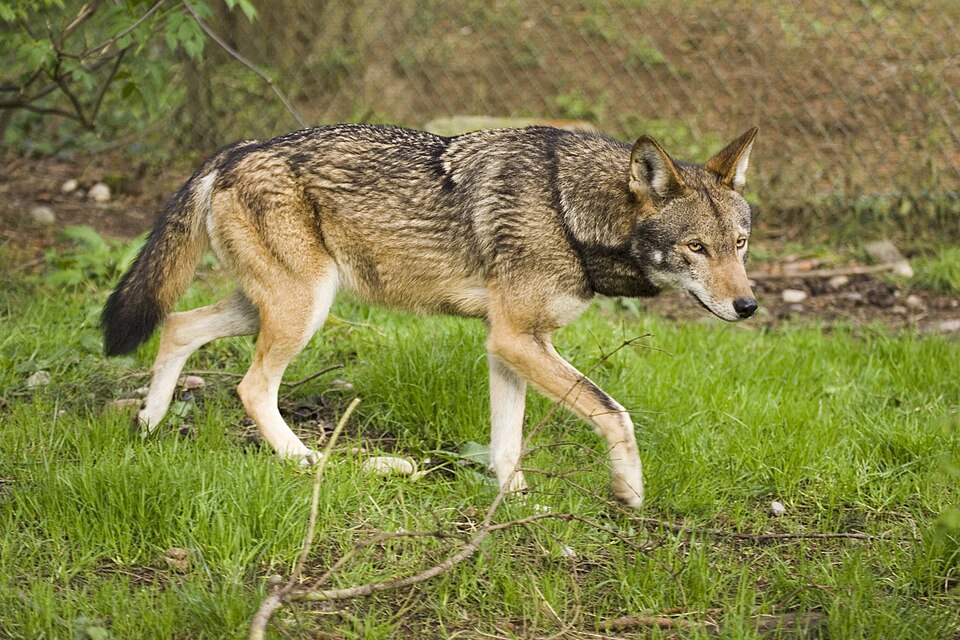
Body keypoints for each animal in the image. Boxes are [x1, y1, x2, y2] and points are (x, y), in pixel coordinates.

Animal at [101, 124, 758, 508]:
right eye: (697, 248)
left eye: (739, 244)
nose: (748, 306)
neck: (569, 211)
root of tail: (231, 151)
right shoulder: (517, 339)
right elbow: (614, 413)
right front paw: (629, 491)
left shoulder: (508, 345)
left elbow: (506, 444)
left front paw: (513, 502)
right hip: (302, 311)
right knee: (250, 385)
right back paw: (302, 459)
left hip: (274, 307)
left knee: (177, 325)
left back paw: (149, 422)